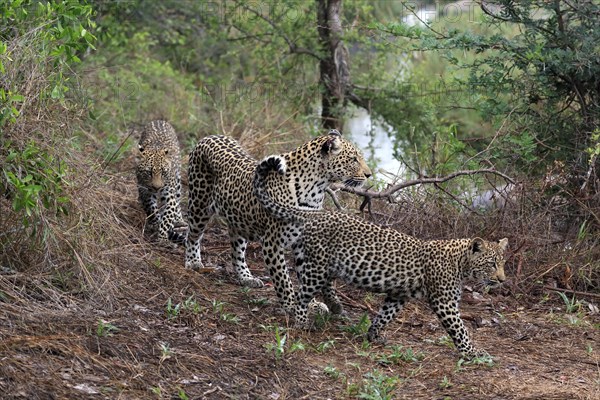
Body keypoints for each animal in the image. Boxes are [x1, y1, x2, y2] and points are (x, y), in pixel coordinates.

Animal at [186, 130, 370, 314]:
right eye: (353, 159)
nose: (369, 175)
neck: (316, 188)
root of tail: (210, 136)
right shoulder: (272, 242)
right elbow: (283, 278)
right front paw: (290, 305)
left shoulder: (302, 242)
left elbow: (305, 277)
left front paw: (311, 304)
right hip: (199, 205)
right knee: (192, 235)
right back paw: (193, 262)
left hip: (239, 220)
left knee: (237, 250)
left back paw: (246, 278)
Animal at [255, 155, 508, 358]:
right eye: (492, 264)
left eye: (503, 264)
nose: (503, 280)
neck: (460, 264)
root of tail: (317, 214)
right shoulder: (444, 302)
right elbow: (460, 330)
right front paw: (472, 352)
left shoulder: (398, 294)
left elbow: (385, 315)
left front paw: (373, 335)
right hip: (315, 268)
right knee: (300, 295)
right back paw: (302, 323)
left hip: (320, 263)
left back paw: (334, 308)